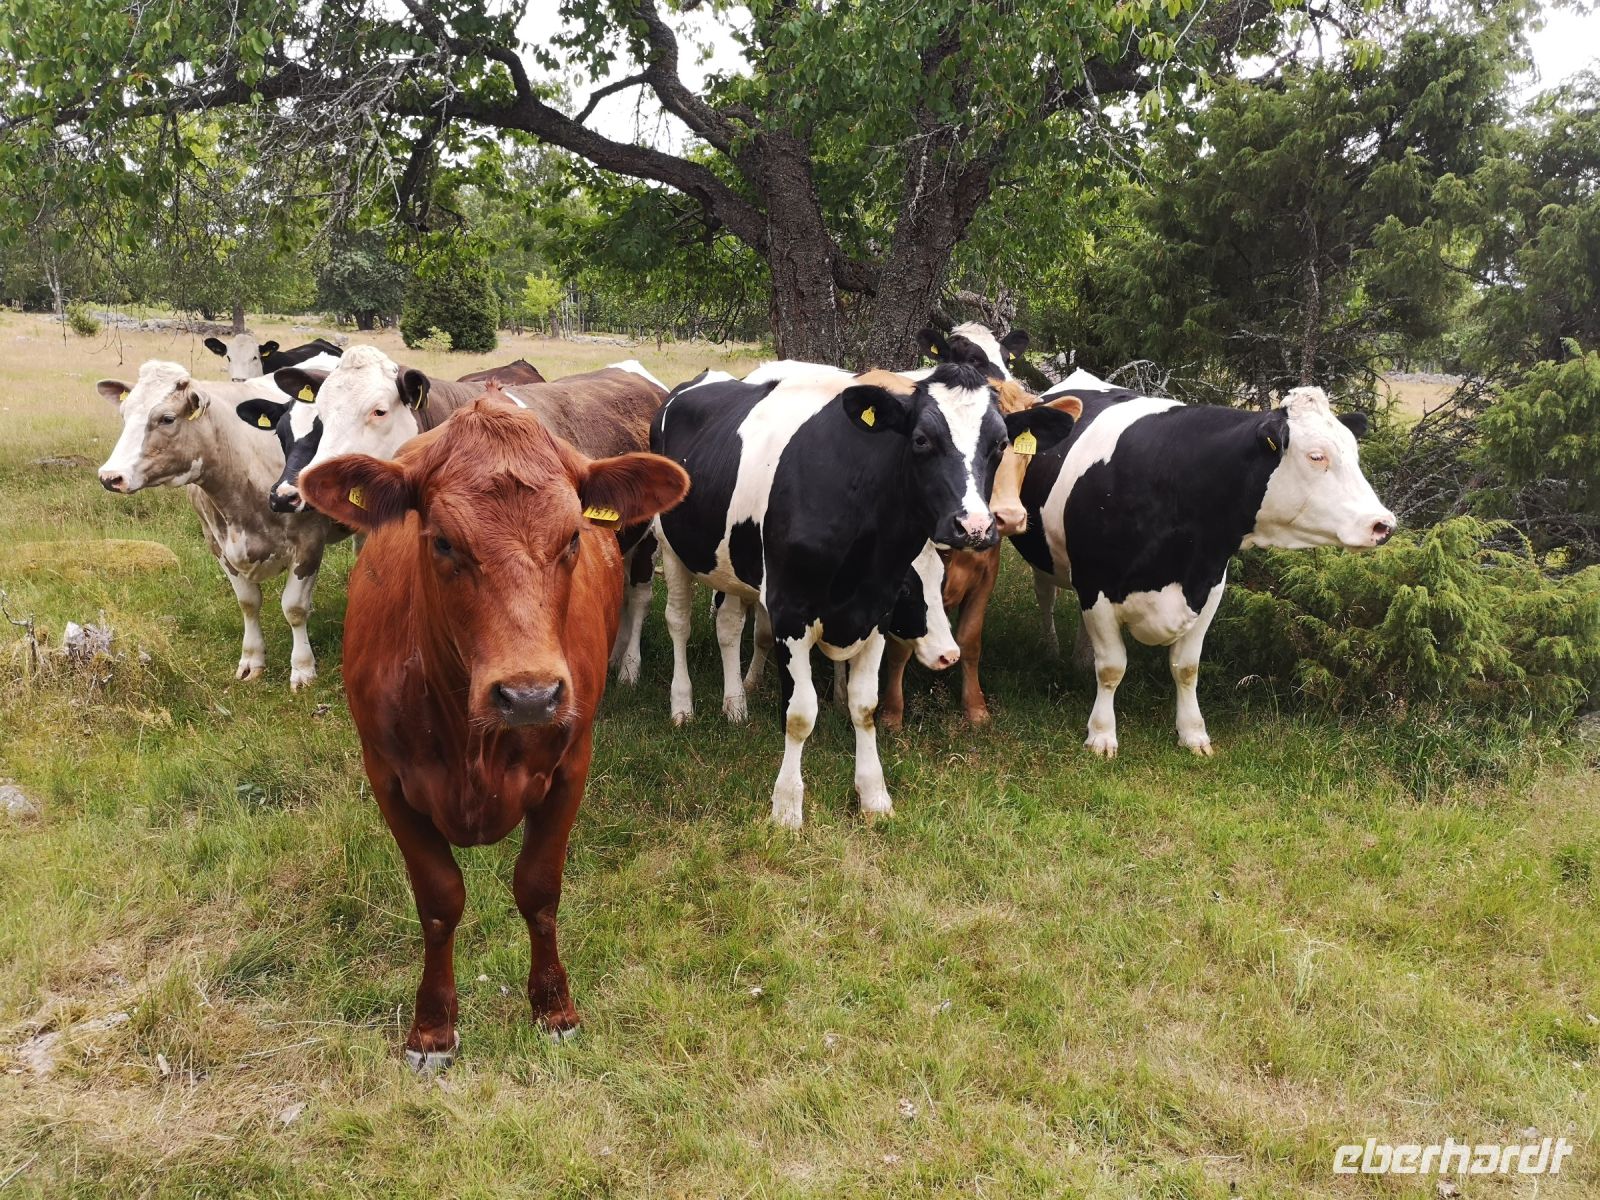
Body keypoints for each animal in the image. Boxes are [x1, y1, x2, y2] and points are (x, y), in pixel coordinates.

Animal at [95, 361, 349, 689]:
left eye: (167, 418)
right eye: (124, 414)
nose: (110, 476)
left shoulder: (309, 542)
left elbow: (294, 608)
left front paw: (303, 669)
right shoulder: (218, 544)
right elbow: (248, 602)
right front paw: (251, 660)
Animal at [238, 346, 671, 681]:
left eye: (379, 411)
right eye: (322, 415)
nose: (304, 488)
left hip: (650, 538)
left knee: (639, 596)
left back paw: (628, 666)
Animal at [297, 396, 688, 1068]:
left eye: (573, 537)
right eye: (442, 541)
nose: (530, 694)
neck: (470, 744)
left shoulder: (572, 765)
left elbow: (538, 889)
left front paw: (554, 1009)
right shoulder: (387, 777)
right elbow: (438, 900)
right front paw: (433, 1028)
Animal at [651, 361, 1010, 827]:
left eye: (1001, 444)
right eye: (921, 439)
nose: (975, 527)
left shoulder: (876, 614)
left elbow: (865, 706)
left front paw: (874, 796)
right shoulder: (790, 612)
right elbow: (800, 713)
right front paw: (787, 807)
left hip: (729, 564)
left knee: (728, 628)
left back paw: (735, 707)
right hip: (671, 545)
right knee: (678, 622)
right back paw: (682, 707)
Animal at [1011, 368, 1396, 757]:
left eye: (1354, 453)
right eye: (1316, 456)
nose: (1383, 524)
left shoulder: (1208, 586)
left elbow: (1186, 667)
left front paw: (1193, 733)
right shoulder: (1097, 584)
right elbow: (1112, 668)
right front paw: (1102, 735)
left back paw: (1080, 657)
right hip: (1045, 557)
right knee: (1045, 596)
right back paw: (1051, 648)